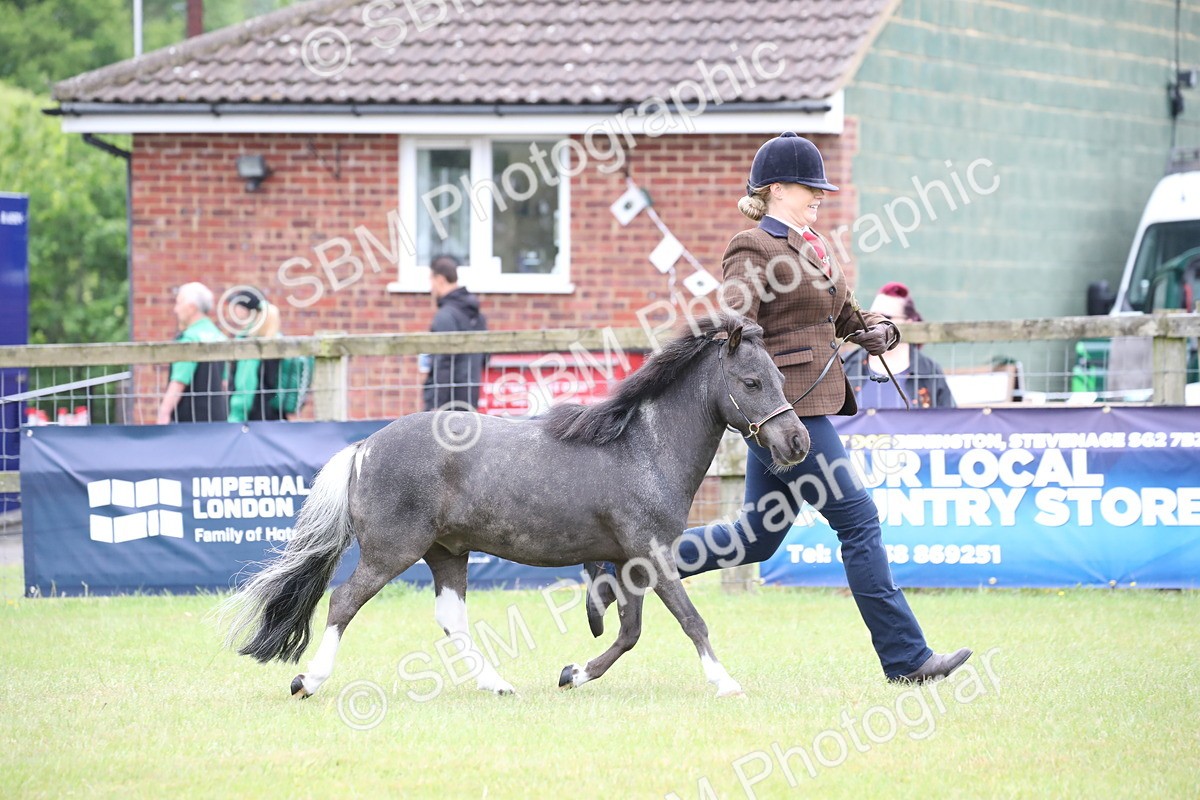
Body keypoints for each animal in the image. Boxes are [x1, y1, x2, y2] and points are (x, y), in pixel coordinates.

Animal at [223, 313, 811, 699]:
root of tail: (365, 445)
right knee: (344, 602)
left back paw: (497, 684)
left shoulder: (628, 561)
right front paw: (725, 681)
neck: (643, 448)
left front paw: (573, 673)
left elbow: (629, 632)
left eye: (782, 378)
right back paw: (308, 680)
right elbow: (692, 620)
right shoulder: (652, 554)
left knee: (451, 618)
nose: (797, 444)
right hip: (393, 550)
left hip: (447, 553)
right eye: (751, 381)